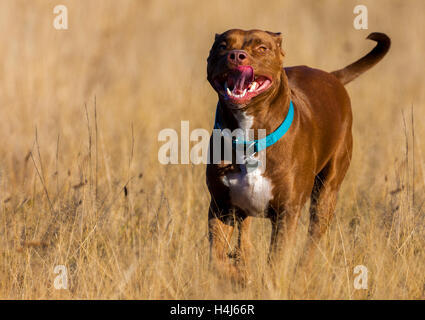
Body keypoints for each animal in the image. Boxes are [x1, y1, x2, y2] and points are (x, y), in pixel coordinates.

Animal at [207, 30, 390, 280]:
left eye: (262, 48)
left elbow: (276, 260)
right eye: (222, 46)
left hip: (326, 194)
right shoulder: (221, 206)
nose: (236, 55)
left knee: (313, 238)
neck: (250, 137)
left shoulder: (287, 213)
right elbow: (217, 260)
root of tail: (332, 76)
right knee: (245, 230)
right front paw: (239, 275)